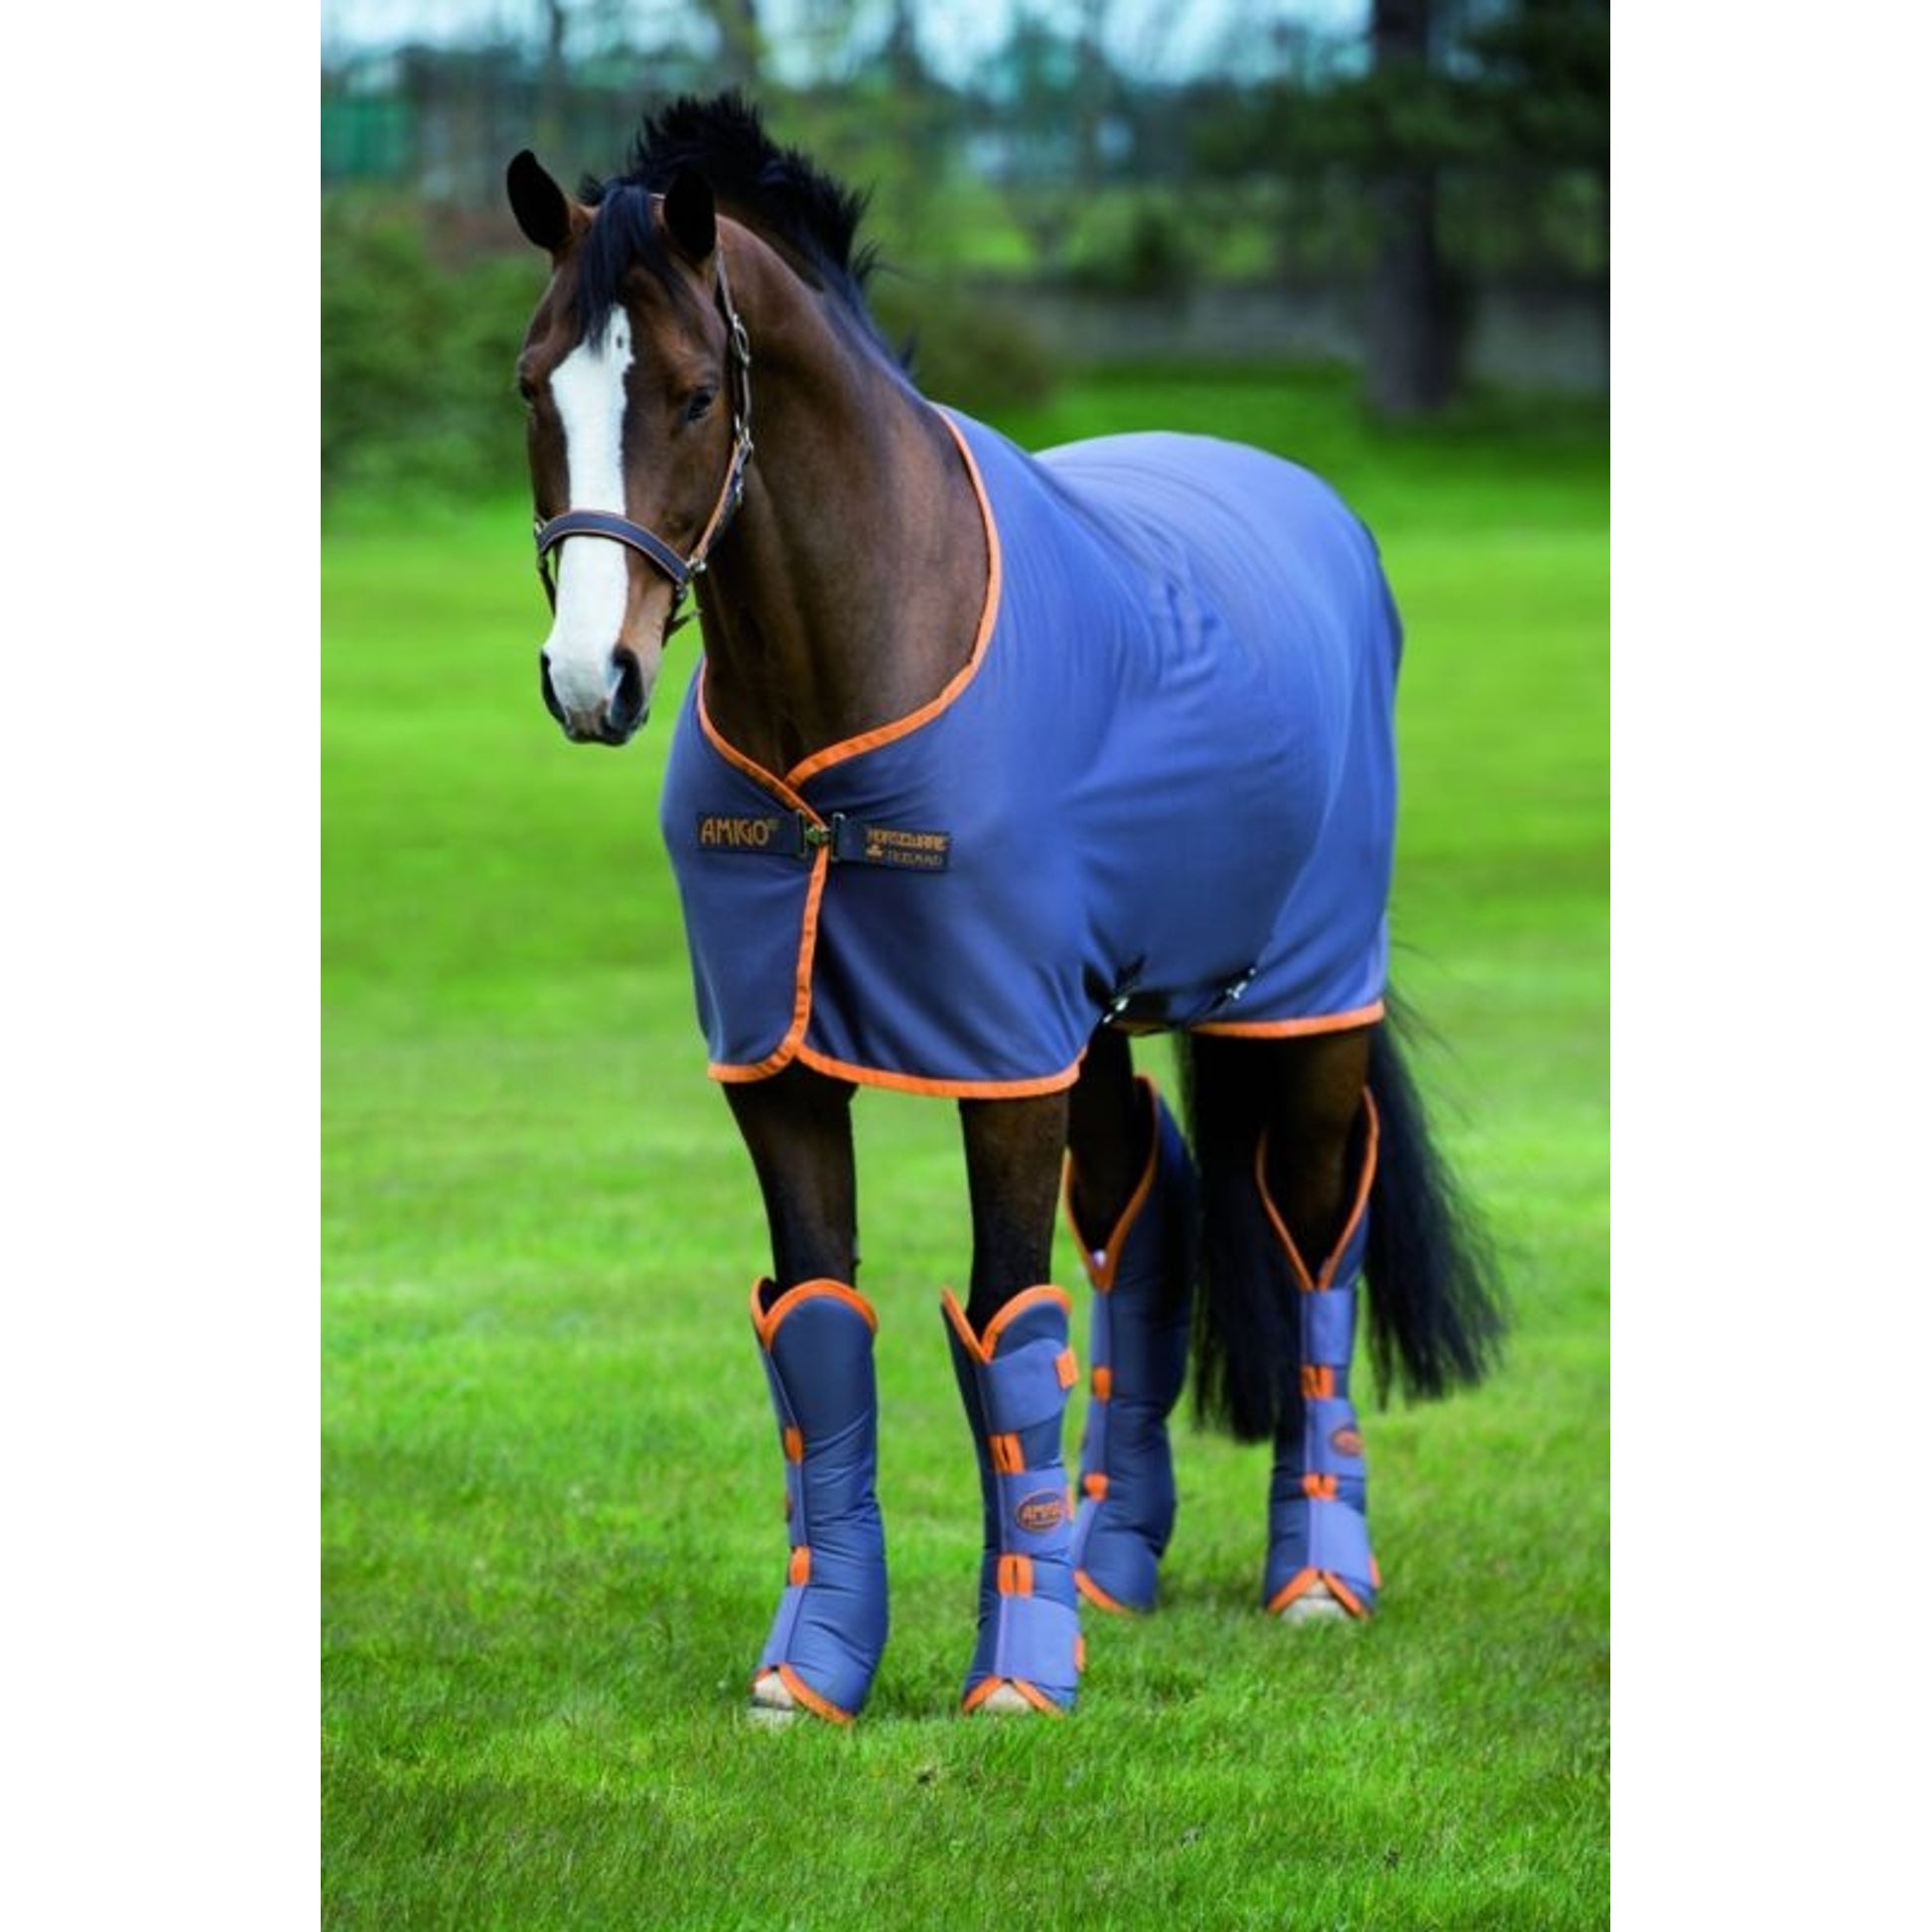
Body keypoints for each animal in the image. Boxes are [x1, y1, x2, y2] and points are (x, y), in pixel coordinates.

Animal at [504, 90, 1505, 1726]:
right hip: (1091, 1020)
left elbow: (1006, 1333)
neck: (844, 719)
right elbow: (817, 1332)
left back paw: (1314, 1573)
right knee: (1148, 1211)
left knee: (1308, 1240)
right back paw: (1111, 1557)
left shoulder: (997, 1062)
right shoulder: (782, 1063)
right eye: (536, 386)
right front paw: (814, 1669)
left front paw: (1018, 1674)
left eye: (701, 394)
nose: (595, 679)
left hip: (1303, 1004)